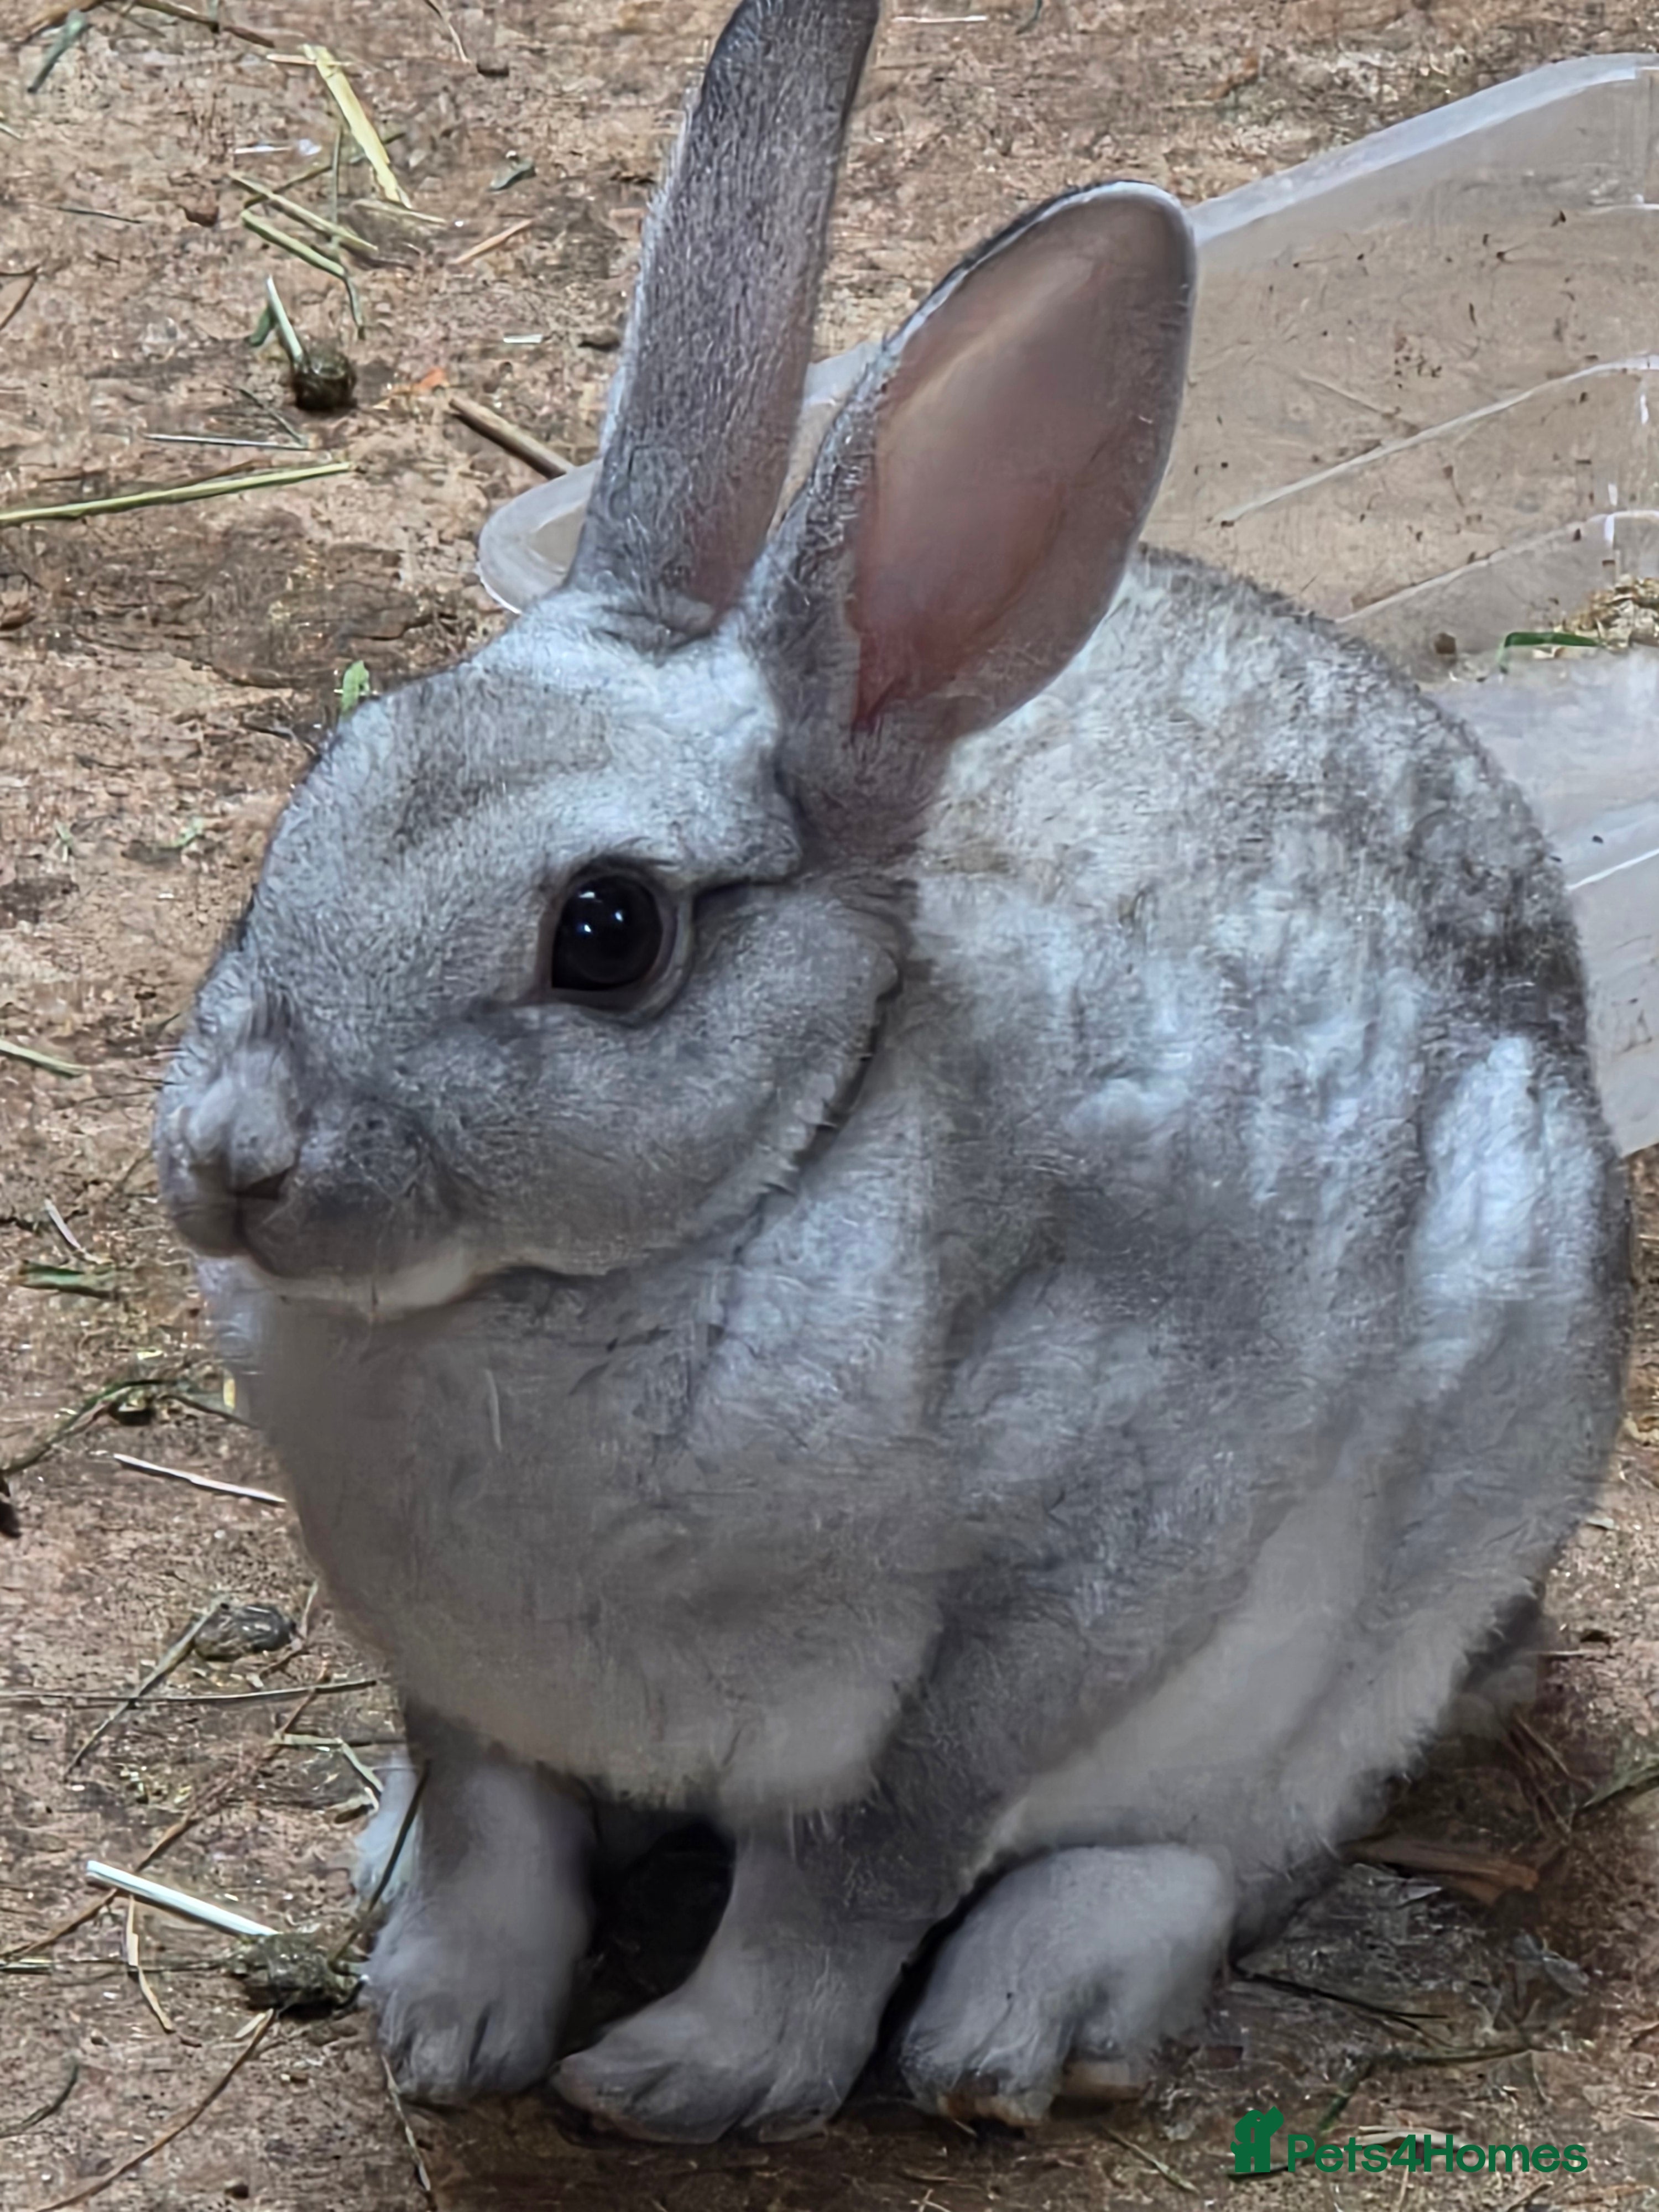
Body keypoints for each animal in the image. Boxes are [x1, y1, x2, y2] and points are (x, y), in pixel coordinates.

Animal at [155, 0, 1631, 2145]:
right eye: (318, 794)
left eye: (607, 932)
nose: (232, 1160)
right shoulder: (464, 1684)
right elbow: (498, 1831)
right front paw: (444, 2029)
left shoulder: (1057, 1596)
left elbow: (849, 1870)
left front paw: (680, 2078)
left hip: (1394, 1620)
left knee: (1210, 1849)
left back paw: (1012, 2035)